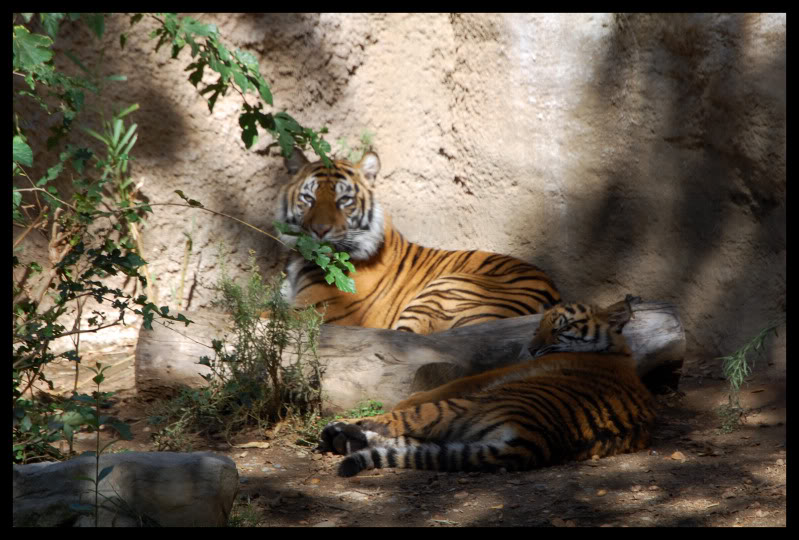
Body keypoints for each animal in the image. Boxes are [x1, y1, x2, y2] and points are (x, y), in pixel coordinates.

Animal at [275, 148, 561, 334]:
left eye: (343, 200)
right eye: (308, 198)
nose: (320, 230)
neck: (301, 259)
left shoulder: (312, 312)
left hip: (441, 294)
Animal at [319, 298, 656, 477]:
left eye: (563, 327)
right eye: (537, 327)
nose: (531, 349)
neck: (616, 351)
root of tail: (534, 441)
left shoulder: (498, 374)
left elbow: (435, 390)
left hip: (464, 406)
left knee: (395, 421)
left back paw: (339, 430)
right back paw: (345, 439)